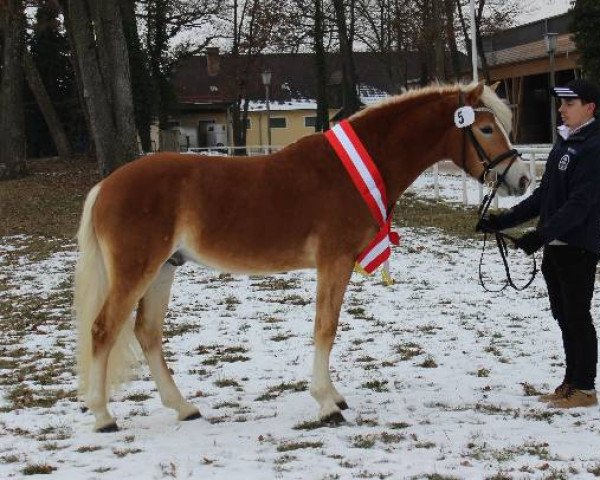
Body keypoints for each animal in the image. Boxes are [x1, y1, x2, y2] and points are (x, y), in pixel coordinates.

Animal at [74, 82, 528, 432]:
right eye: (486, 128)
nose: (522, 178)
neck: (349, 172)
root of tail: (106, 186)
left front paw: (333, 396)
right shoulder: (335, 261)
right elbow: (325, 327)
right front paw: (327, 403)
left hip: (164, 271)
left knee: (147, 333)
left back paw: (183, 408)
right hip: (137, 270)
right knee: (103, 329)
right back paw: (103, 416)